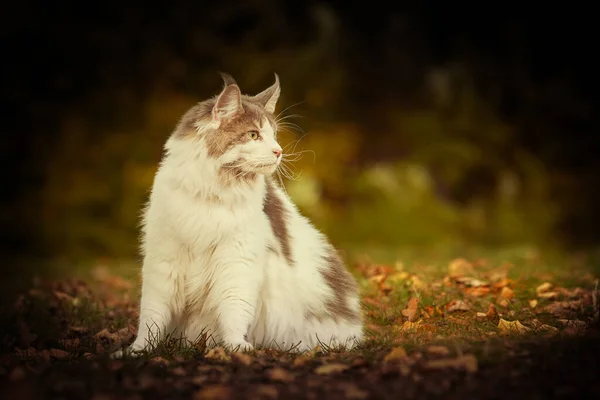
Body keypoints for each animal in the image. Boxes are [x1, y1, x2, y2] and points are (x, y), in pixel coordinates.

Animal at [120, 73, 364, 354]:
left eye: (273, 135)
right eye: (253, 135)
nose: (278, 151)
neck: (211, 194)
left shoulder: (238, 260)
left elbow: (234, 308)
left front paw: (236, 346)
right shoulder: (164, 260)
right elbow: (152, 315)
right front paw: (138, 350)